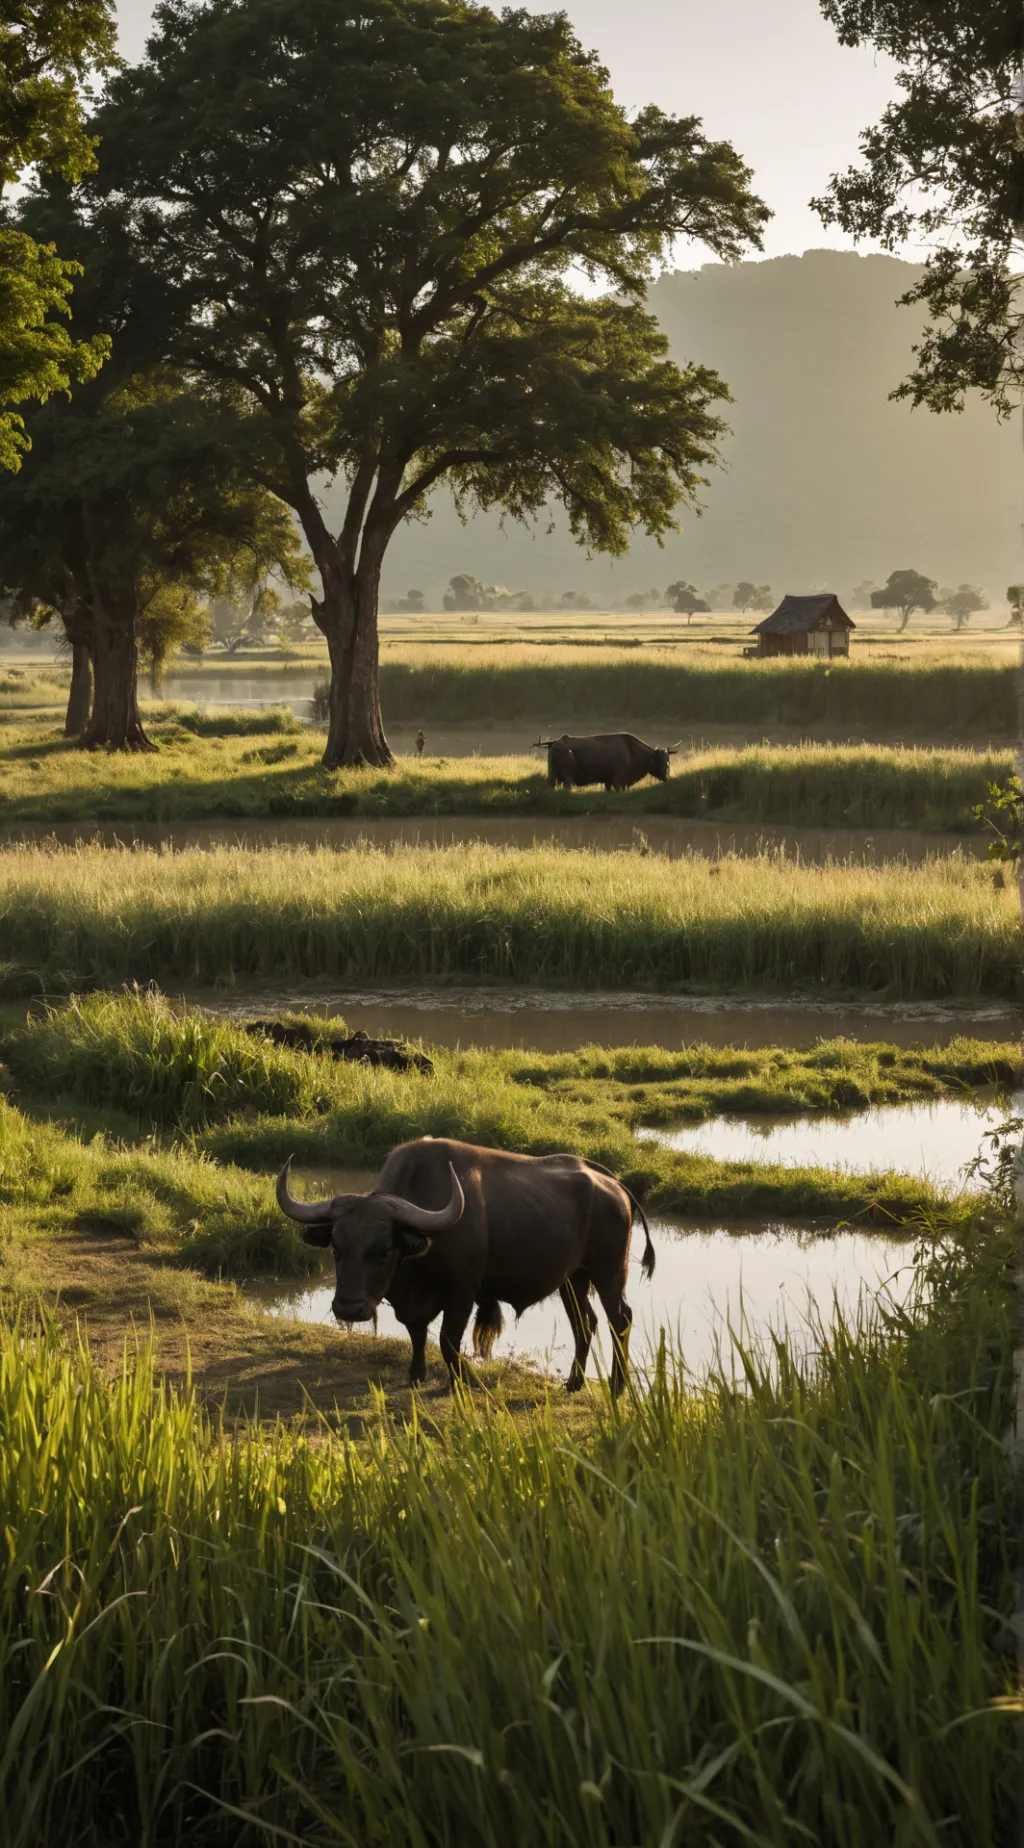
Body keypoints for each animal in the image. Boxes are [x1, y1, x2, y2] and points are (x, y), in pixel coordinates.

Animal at [276, 1137, 655, 1395]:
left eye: (384, 1250)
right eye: (336, 1249)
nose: (348, 1308)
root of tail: (613, 1185)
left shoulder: (462, 1294)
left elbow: (447, 1341)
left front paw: (465, 1380)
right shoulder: (410, 1302)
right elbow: (417, 1333)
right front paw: (416, 1375)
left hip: (609, 1272)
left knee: (620, 1319)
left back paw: (617, 1386)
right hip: (572, 1279)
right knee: (584, 1323)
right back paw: (574, 1382)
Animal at [537, 731, 682, 791]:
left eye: (668, 760)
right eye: (662, 761)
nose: (667, 777)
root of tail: (554, 742)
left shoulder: (608, 779)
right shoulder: (619, 779)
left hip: (552, 772)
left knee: (551, 784)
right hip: (567, 773)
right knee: (567, 785)